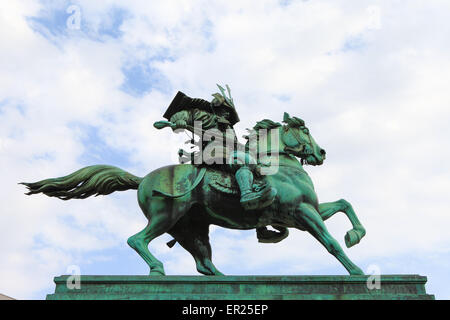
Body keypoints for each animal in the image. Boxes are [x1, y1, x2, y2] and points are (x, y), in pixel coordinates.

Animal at [21, 114, 366, 276]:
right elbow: (331, 243)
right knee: (137, 240)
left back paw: (224, 278)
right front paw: (356, 270)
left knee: (203, 263)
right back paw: (158, 269)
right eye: (304, 129)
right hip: (166, 216)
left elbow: (344, 204)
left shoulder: (304, 213)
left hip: (190, 228)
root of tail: (143, 179)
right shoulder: (303, 212)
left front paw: (356, 235)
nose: (321, 153)